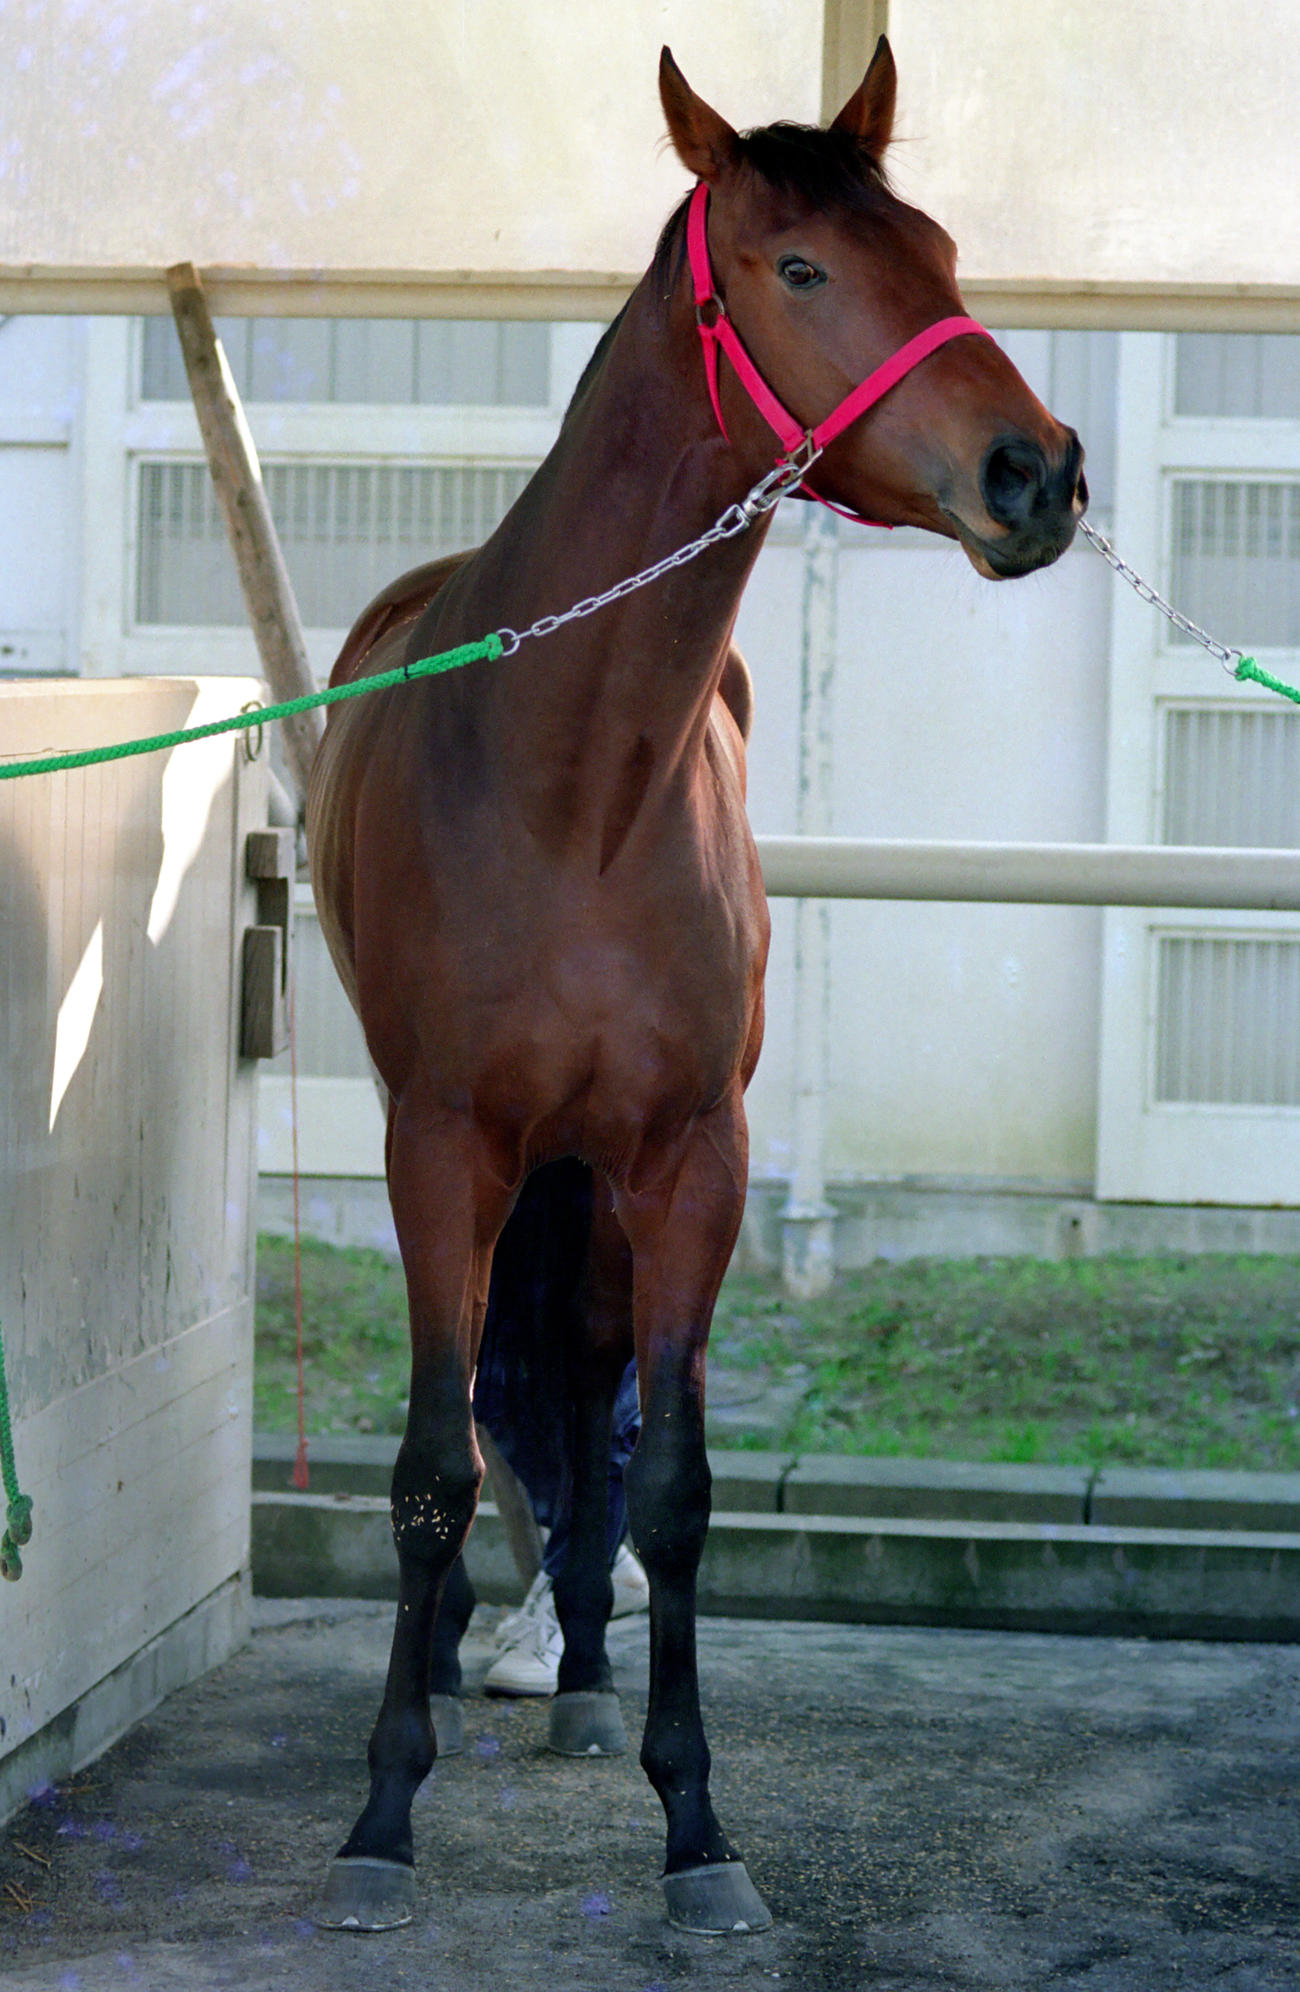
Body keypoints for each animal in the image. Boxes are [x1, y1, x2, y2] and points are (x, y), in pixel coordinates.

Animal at [304, 37, 1086, 1936]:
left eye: (940, 249)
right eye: (799, 268)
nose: (1038, 472)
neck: (571, 776)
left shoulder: (690, 1160)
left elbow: (668, 1479)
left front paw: (697, 1824)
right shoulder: (441, 1147)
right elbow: (430, 1468)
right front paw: (382, 1815)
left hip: (597, 1180)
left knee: (583, 1384)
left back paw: (585, 1675)